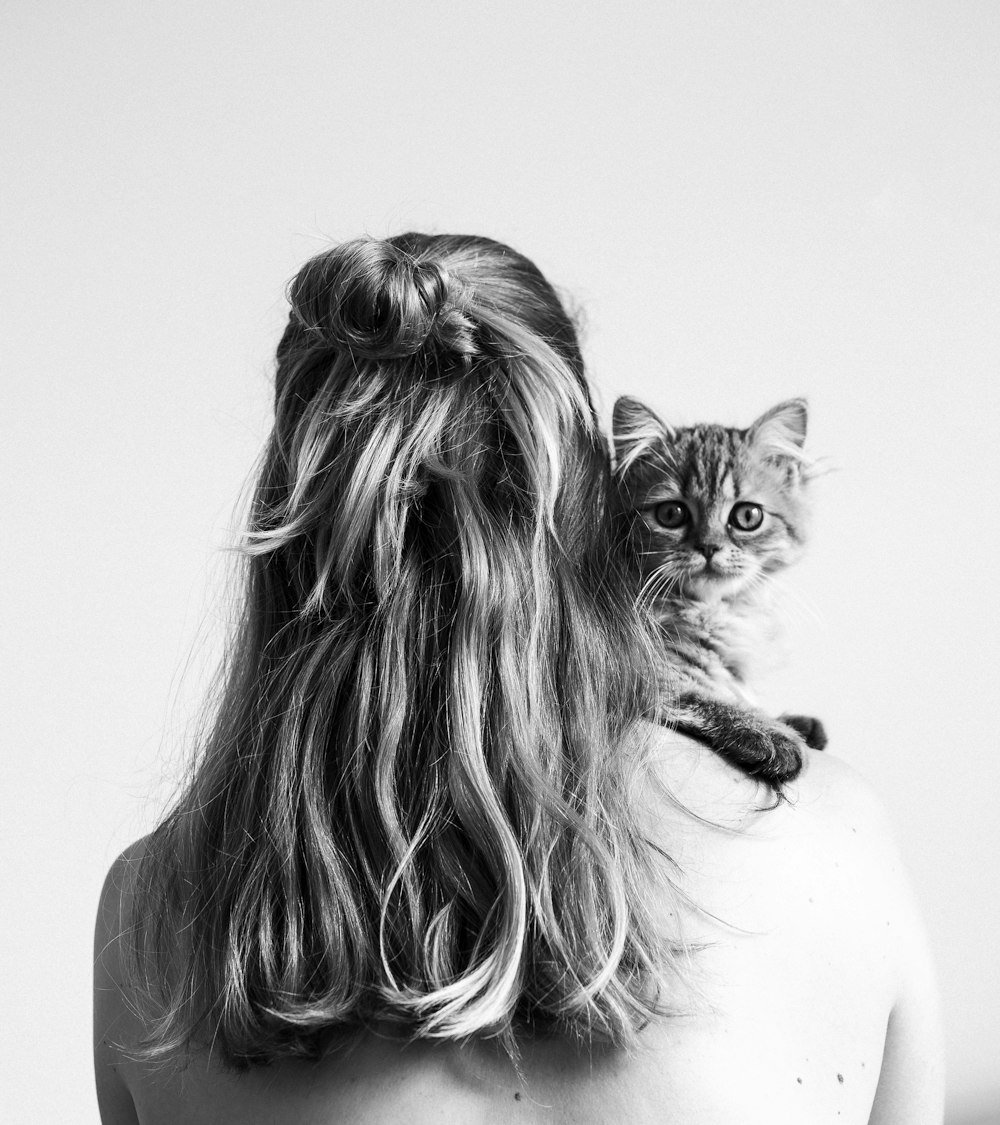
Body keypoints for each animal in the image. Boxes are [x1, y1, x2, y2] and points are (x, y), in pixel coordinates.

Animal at [611, 400, 823, 787]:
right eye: (671, 513)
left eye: (748, 516)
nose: (709, 547)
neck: (712, 611)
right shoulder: (634, 675)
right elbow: (699, 694)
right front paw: (772, 732)